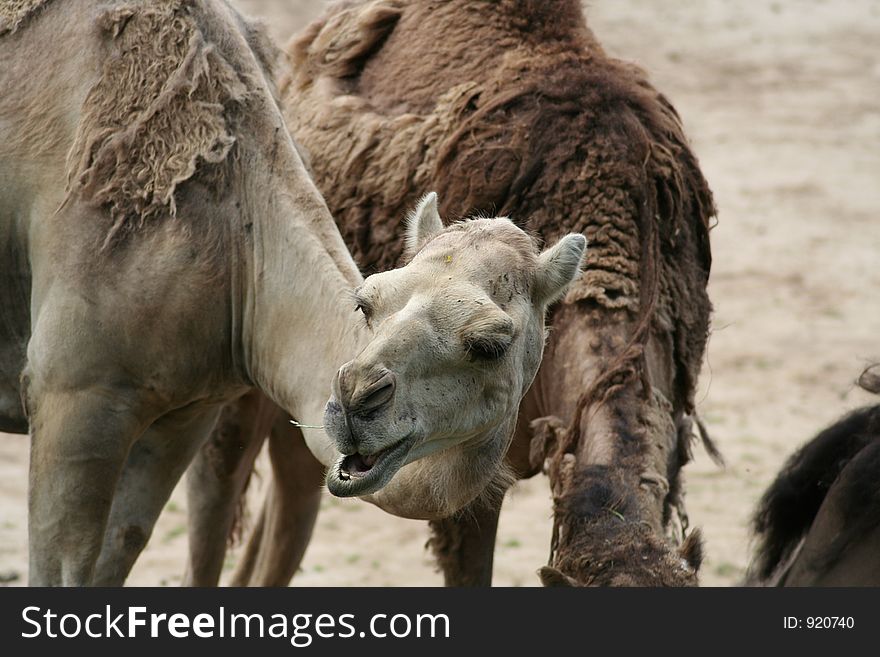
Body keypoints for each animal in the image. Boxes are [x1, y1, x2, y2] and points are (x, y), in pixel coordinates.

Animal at [0, 0, 584, 584]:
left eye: (491, 344)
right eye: (367, 302)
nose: (355, 397)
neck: (236, 241)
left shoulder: (184, 412)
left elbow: (121, 546)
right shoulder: (72, 393)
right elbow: (61, 569)